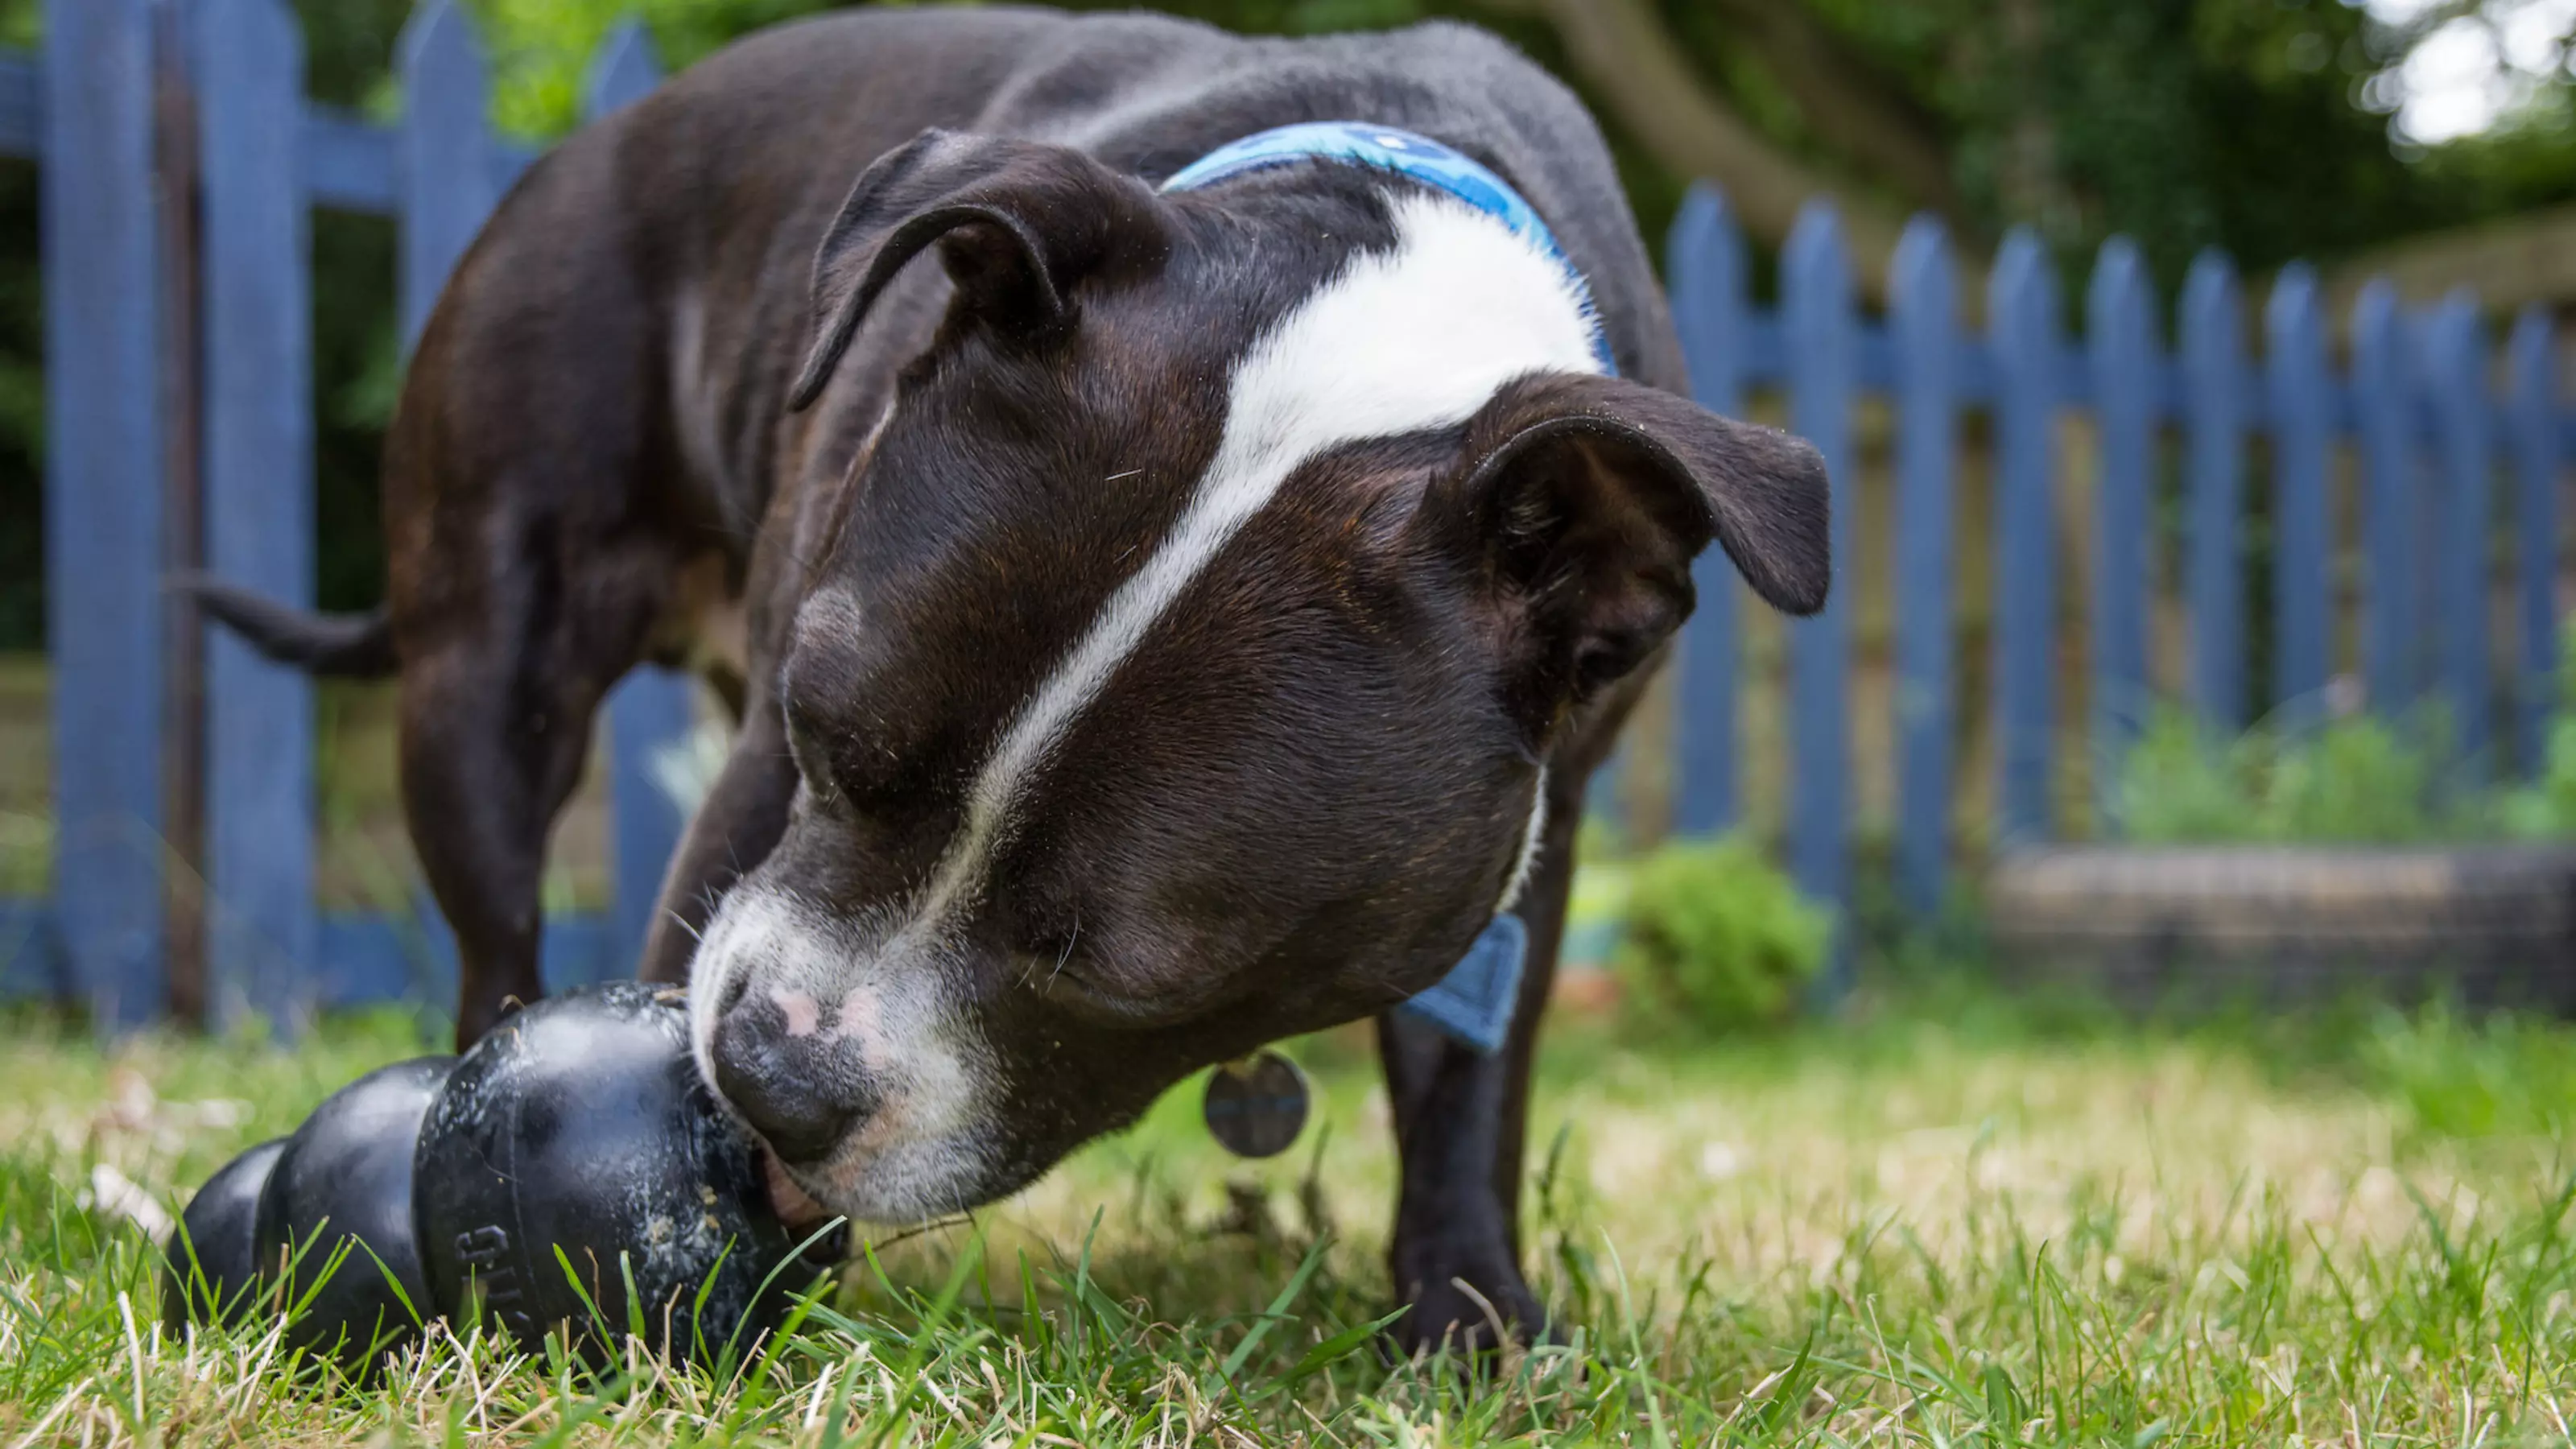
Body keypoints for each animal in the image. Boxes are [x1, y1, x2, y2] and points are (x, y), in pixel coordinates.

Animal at [206, 6, 1834, 1351]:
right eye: (824, 738)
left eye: (1122, 972)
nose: (770, 1076)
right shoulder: (749, 791)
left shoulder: (1517, 838)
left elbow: (1465, 1082)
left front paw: (1469, 1317)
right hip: (484, 679)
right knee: (495, 924)